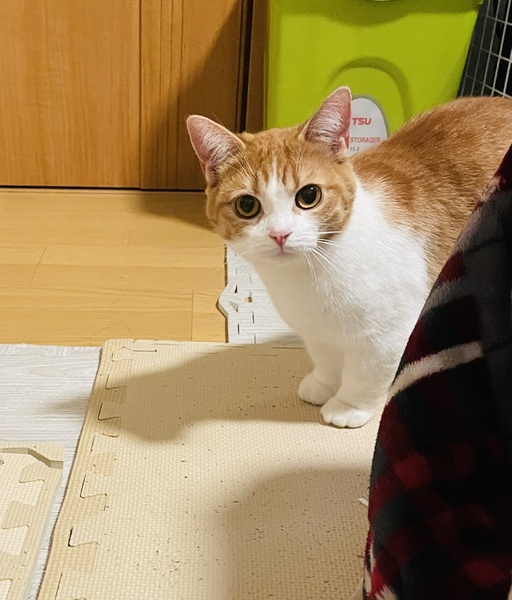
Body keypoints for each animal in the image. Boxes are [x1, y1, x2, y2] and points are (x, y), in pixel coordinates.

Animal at [186, 86, 512, 428]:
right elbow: (326, 359)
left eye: (309, 195)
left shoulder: (390, 334)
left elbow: (366, 375)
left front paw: (347, 406)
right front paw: (323, 385)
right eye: (247, 205)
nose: (280, 234)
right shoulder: (317, 332)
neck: (307, 279)